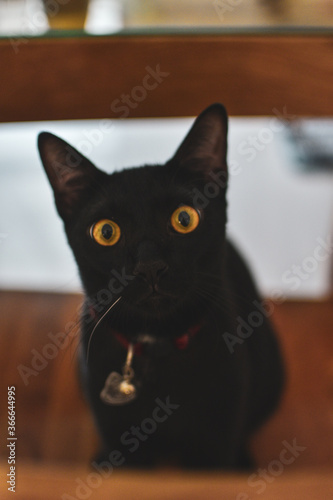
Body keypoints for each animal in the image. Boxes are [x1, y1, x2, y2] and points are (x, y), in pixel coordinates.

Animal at [39, 104, 282, 468]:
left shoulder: (216, 446)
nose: (149, 266)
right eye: (106, 232)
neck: (158, 345)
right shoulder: (123, 441)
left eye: (184, 219)